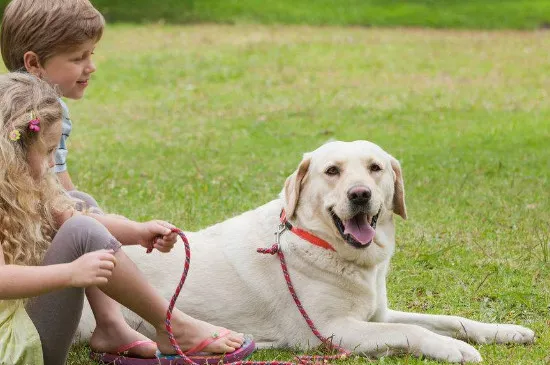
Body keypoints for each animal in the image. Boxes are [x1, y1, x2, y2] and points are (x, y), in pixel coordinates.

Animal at [77, 139, 536, 362]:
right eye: (332, 171)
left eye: (376, 168)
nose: (359, 194)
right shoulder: (334, 331)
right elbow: (415, 332)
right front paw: (454, 350)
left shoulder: (377, 315)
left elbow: (450, 320)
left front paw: (506, 331)